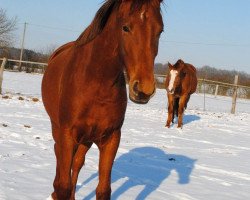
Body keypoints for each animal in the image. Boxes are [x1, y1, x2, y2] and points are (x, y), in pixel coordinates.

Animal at [41, 0, 164, 199]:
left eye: (160, 31)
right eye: (125, 27)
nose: (143, 90)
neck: (96, 81)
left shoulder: (111, 138)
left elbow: (103, 189)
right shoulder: (67, 135)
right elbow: (62, 185)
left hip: (86, 139)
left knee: (77, 163)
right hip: (58, 129)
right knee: (60, 160)